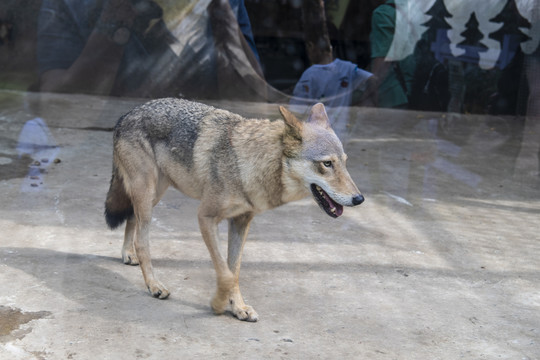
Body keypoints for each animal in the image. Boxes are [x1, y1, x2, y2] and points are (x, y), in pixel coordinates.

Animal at [103, 97, 364, 320]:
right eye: (327, 164)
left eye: (345, 163)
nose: (359, 198)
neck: (248, 164)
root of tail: (127, 114)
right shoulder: (205, 217)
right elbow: (226, 275)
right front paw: (218, 304)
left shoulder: (241, 221)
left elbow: (234, 270)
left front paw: (238, 307)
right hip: (148, 196)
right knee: (142, 240)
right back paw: (154, 285)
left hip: (153, 196)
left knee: (132, 219)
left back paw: (128, 254)